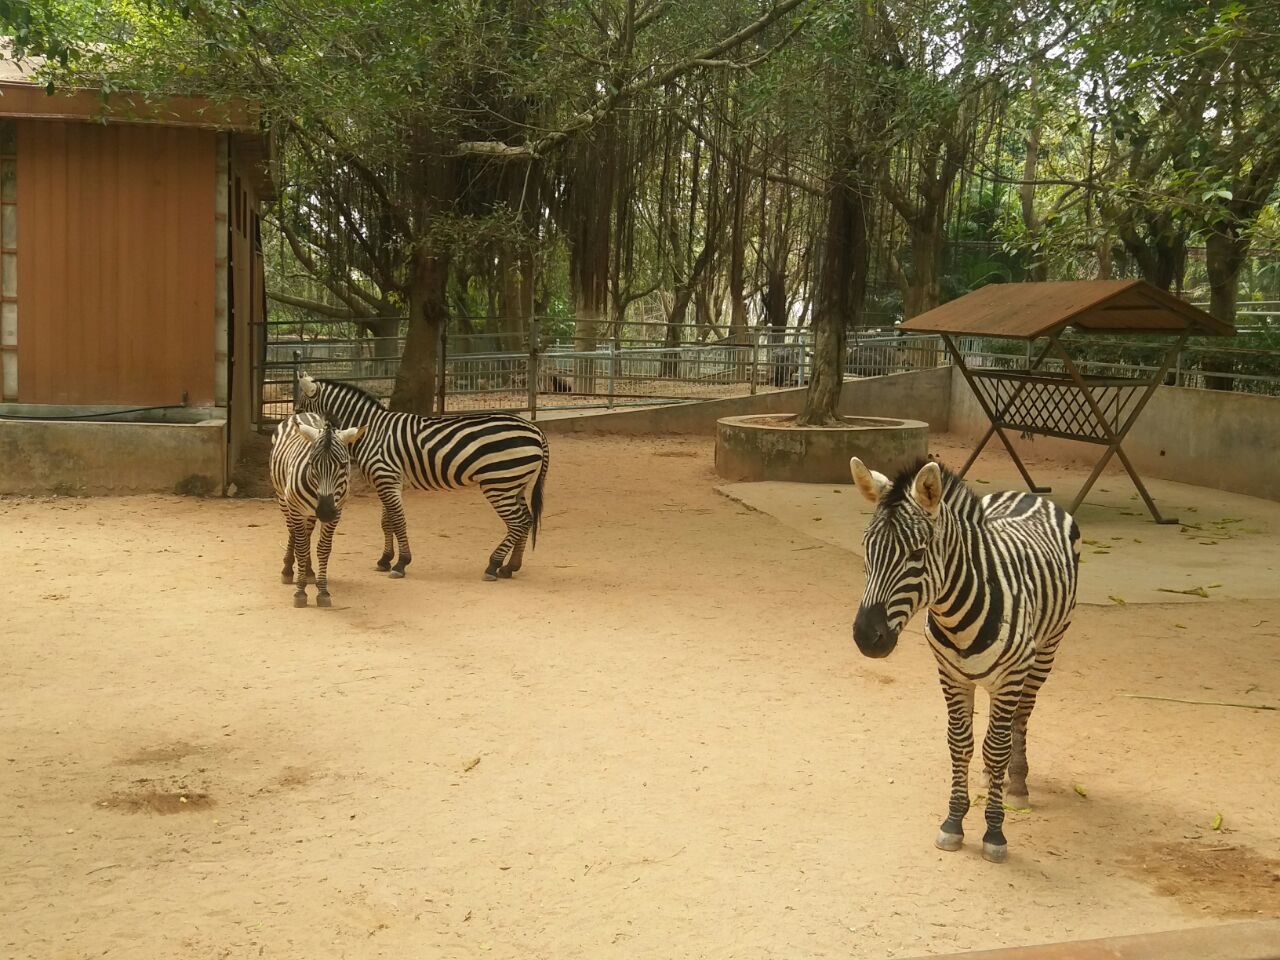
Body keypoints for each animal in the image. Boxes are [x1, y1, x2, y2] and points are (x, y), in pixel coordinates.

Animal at [270, 414, 366, 609]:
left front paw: (323, 591)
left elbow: (323, 548)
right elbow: (300, 547)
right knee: (293, 533)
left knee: (306, 536)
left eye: (343, 465)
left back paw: (308, 571)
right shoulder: (296, 508)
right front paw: (300, 592)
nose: (325, 512)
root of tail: (302, 413)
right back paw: (288, 570)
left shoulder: (338, 511)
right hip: (284, 500)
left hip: (310, 514)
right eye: (312, 464)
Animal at [294, 376, 550, 583]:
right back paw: (510, 567)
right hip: (514, 483)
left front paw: (401, 563)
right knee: (526, 520)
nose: (293, 427)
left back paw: (493, 565)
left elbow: (398, 521)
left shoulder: (385, 477)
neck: (371, 431)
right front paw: (385, 559)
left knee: (517, 522)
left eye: (298, 410)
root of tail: (535, 430)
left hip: (499, 483)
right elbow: (387, 521)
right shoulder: (388, 480)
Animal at [849, 458, 1080, 865]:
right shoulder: (950, 675)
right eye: (866, 548)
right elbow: (960, 743)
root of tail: (1028, 494)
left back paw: (1016, 784)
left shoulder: (1011, 676)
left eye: (918, 553)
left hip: (1046, 651)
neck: (956, 613)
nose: (865, 637)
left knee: (1020, 718)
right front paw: (954, 822)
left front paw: (994, 831)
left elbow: (996, 747)